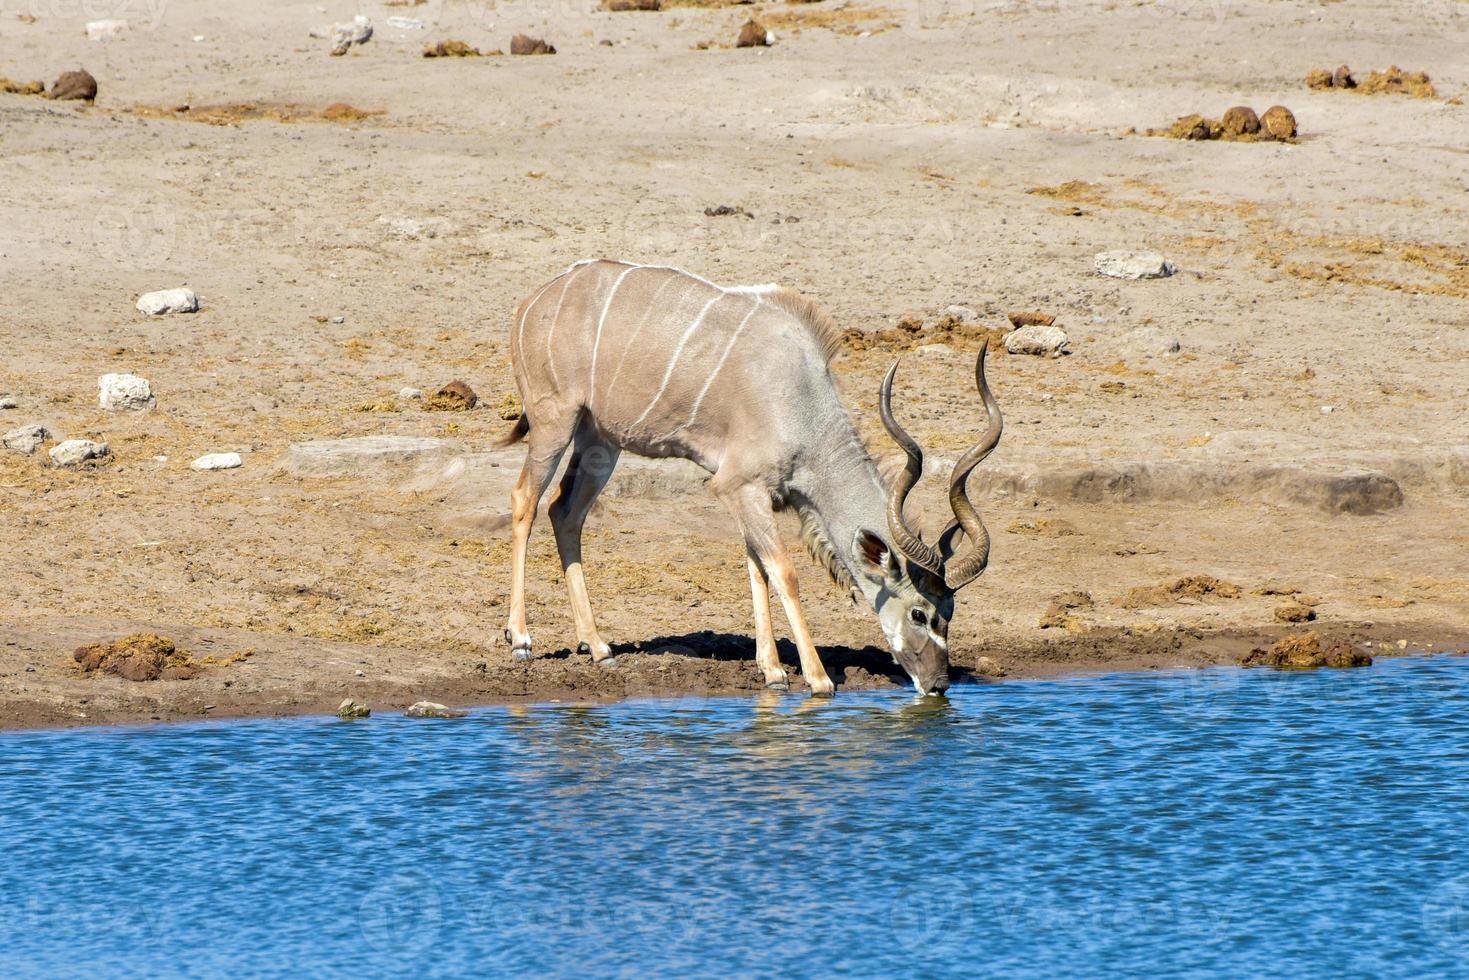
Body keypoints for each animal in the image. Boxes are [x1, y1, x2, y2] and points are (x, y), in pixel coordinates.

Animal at [502, 260, 998, 696]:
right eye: (919, 614)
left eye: (951, 612)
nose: (937, 684)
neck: (799, 399)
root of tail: (532, 302)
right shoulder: (741, 486)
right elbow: (783, 571)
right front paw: (817, 679)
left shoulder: (752, 495)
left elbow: (756, 567)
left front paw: (773, 672)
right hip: (554, 421)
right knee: (525, 499)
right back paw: (521, 639)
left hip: (600, 440)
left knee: (565, 512)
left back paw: (598, 646)